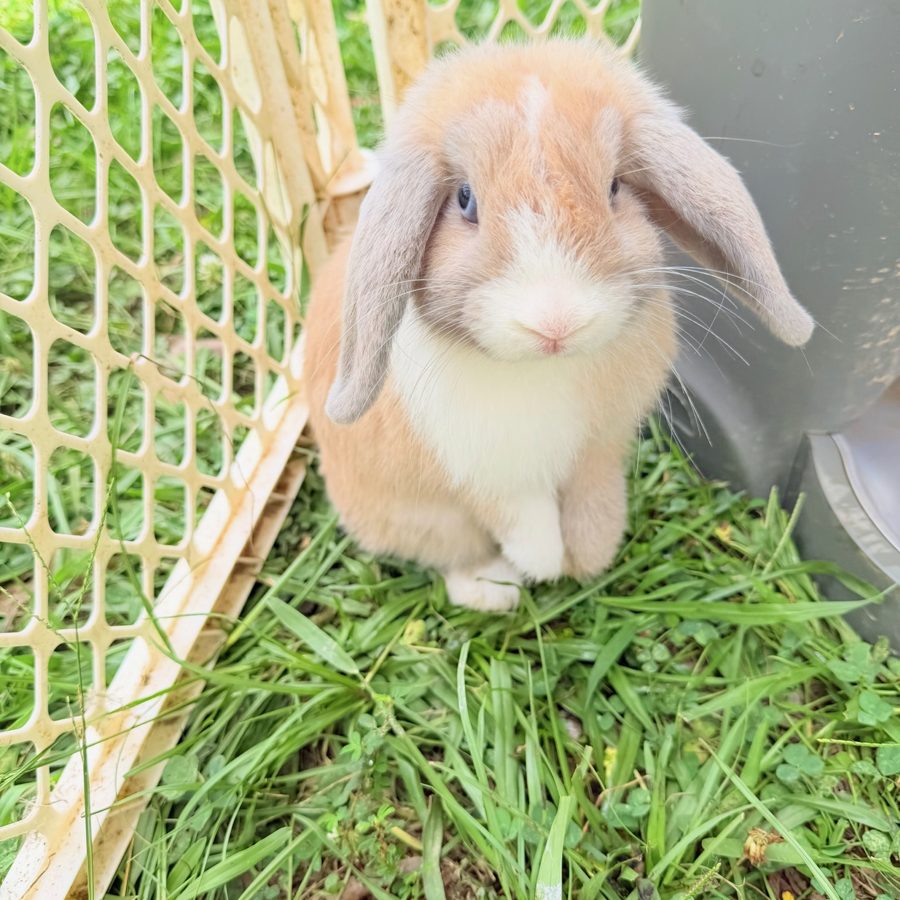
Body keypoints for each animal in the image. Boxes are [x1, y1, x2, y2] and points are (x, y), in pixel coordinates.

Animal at [303, 39, 814, 612]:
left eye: (614, 187)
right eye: (465, 199)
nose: (555, 322)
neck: (545, 369)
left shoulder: (600, 448)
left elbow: (593, 497)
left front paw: (593, 556)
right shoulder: (491, 474)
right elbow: (525, 523)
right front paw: (548, 567)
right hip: (418, 520)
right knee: (453, 552)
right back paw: (493, 590)